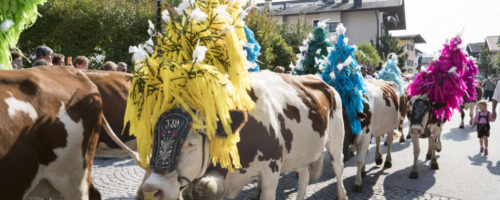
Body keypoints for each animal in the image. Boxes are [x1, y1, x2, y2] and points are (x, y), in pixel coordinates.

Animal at [112, 70, 348, 200]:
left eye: (191, 144)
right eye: (152, 141)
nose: (151, 190)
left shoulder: (271, 172)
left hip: (336, 139)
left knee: (338, 166)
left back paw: (342, 194)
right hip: (301, 151)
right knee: (304, 174)